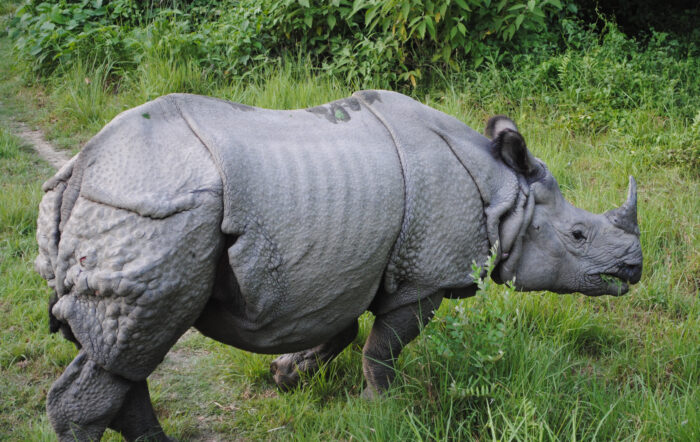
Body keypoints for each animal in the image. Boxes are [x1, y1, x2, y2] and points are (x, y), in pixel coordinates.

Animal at [35, 90, 642, 441]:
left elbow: (342, 330)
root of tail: (81, 168)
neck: (505, 194)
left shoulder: (350, 267)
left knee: (124, 354)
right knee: (133, 346)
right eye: (579, 235)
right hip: (154, 210)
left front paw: (287, 375)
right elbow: (382, 350)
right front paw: (380, 413)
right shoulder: (425, 277)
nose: (633, 267)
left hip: (137, 208)